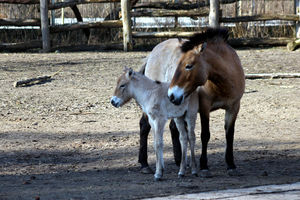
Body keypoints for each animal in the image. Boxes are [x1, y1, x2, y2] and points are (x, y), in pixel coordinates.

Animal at [168, 27, 245, 176]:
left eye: (188, 66)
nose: (172, 95)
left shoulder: (234, 107)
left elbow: (229, 134)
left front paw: (231, 163)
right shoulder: (204, 108)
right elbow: (205, 135)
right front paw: (204, 165)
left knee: (175, 129)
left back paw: (180, 161)